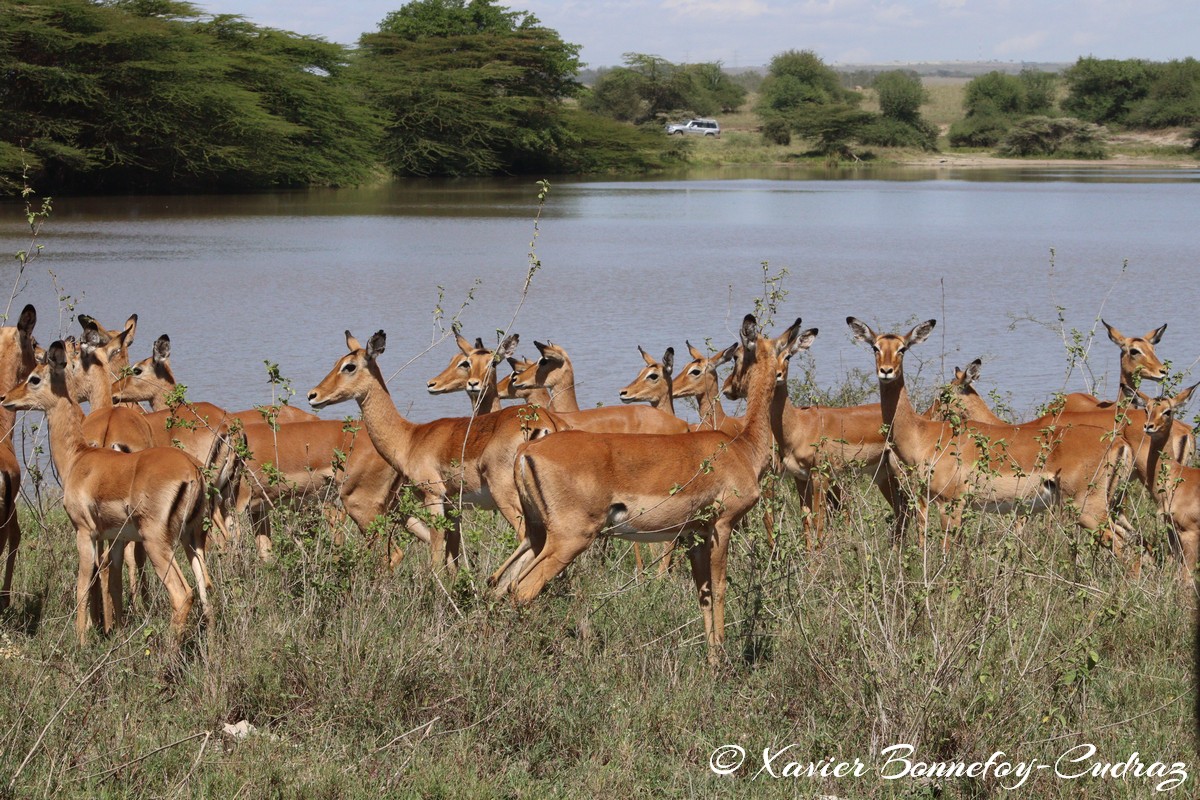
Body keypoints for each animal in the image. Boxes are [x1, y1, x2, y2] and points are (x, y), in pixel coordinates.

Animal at [1, 341, 212, 645]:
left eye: (35, 378)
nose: (6, 397)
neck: (78, 458)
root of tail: (192, 471)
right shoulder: (116, 538)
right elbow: (112, 582)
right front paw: (113, 630)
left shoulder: (84, 532)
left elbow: (83, 584)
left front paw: (81, 641)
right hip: (192, 539)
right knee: (205, 587)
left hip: (157, 542)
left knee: (182, 595)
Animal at [307, 330, 562, 572]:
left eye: (349, 366)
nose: (313, 395)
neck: (410, 438)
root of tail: (545, 422)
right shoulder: (452, 507)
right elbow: (453, 559)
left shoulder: (434, 499)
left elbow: (437, 557)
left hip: (509, 499)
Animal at [492, 315, 811, 663]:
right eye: (740, 355)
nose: (732, 389)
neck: (742, 447)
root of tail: (527, 451)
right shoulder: (721, 526)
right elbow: (720, 587)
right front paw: (721, 661)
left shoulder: (694, 535)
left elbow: (703, 593)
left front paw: (711, 658)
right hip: (570, 538)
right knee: (523, 590)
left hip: (536, 536)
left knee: (502, 584)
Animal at [847, 317, 1133, 552]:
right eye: (875, 347)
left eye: (902, 348)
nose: (886, 371)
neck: (923, 435)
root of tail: (1119, 443)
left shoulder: (951, 504)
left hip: (1088, 509)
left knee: (1123, 547)